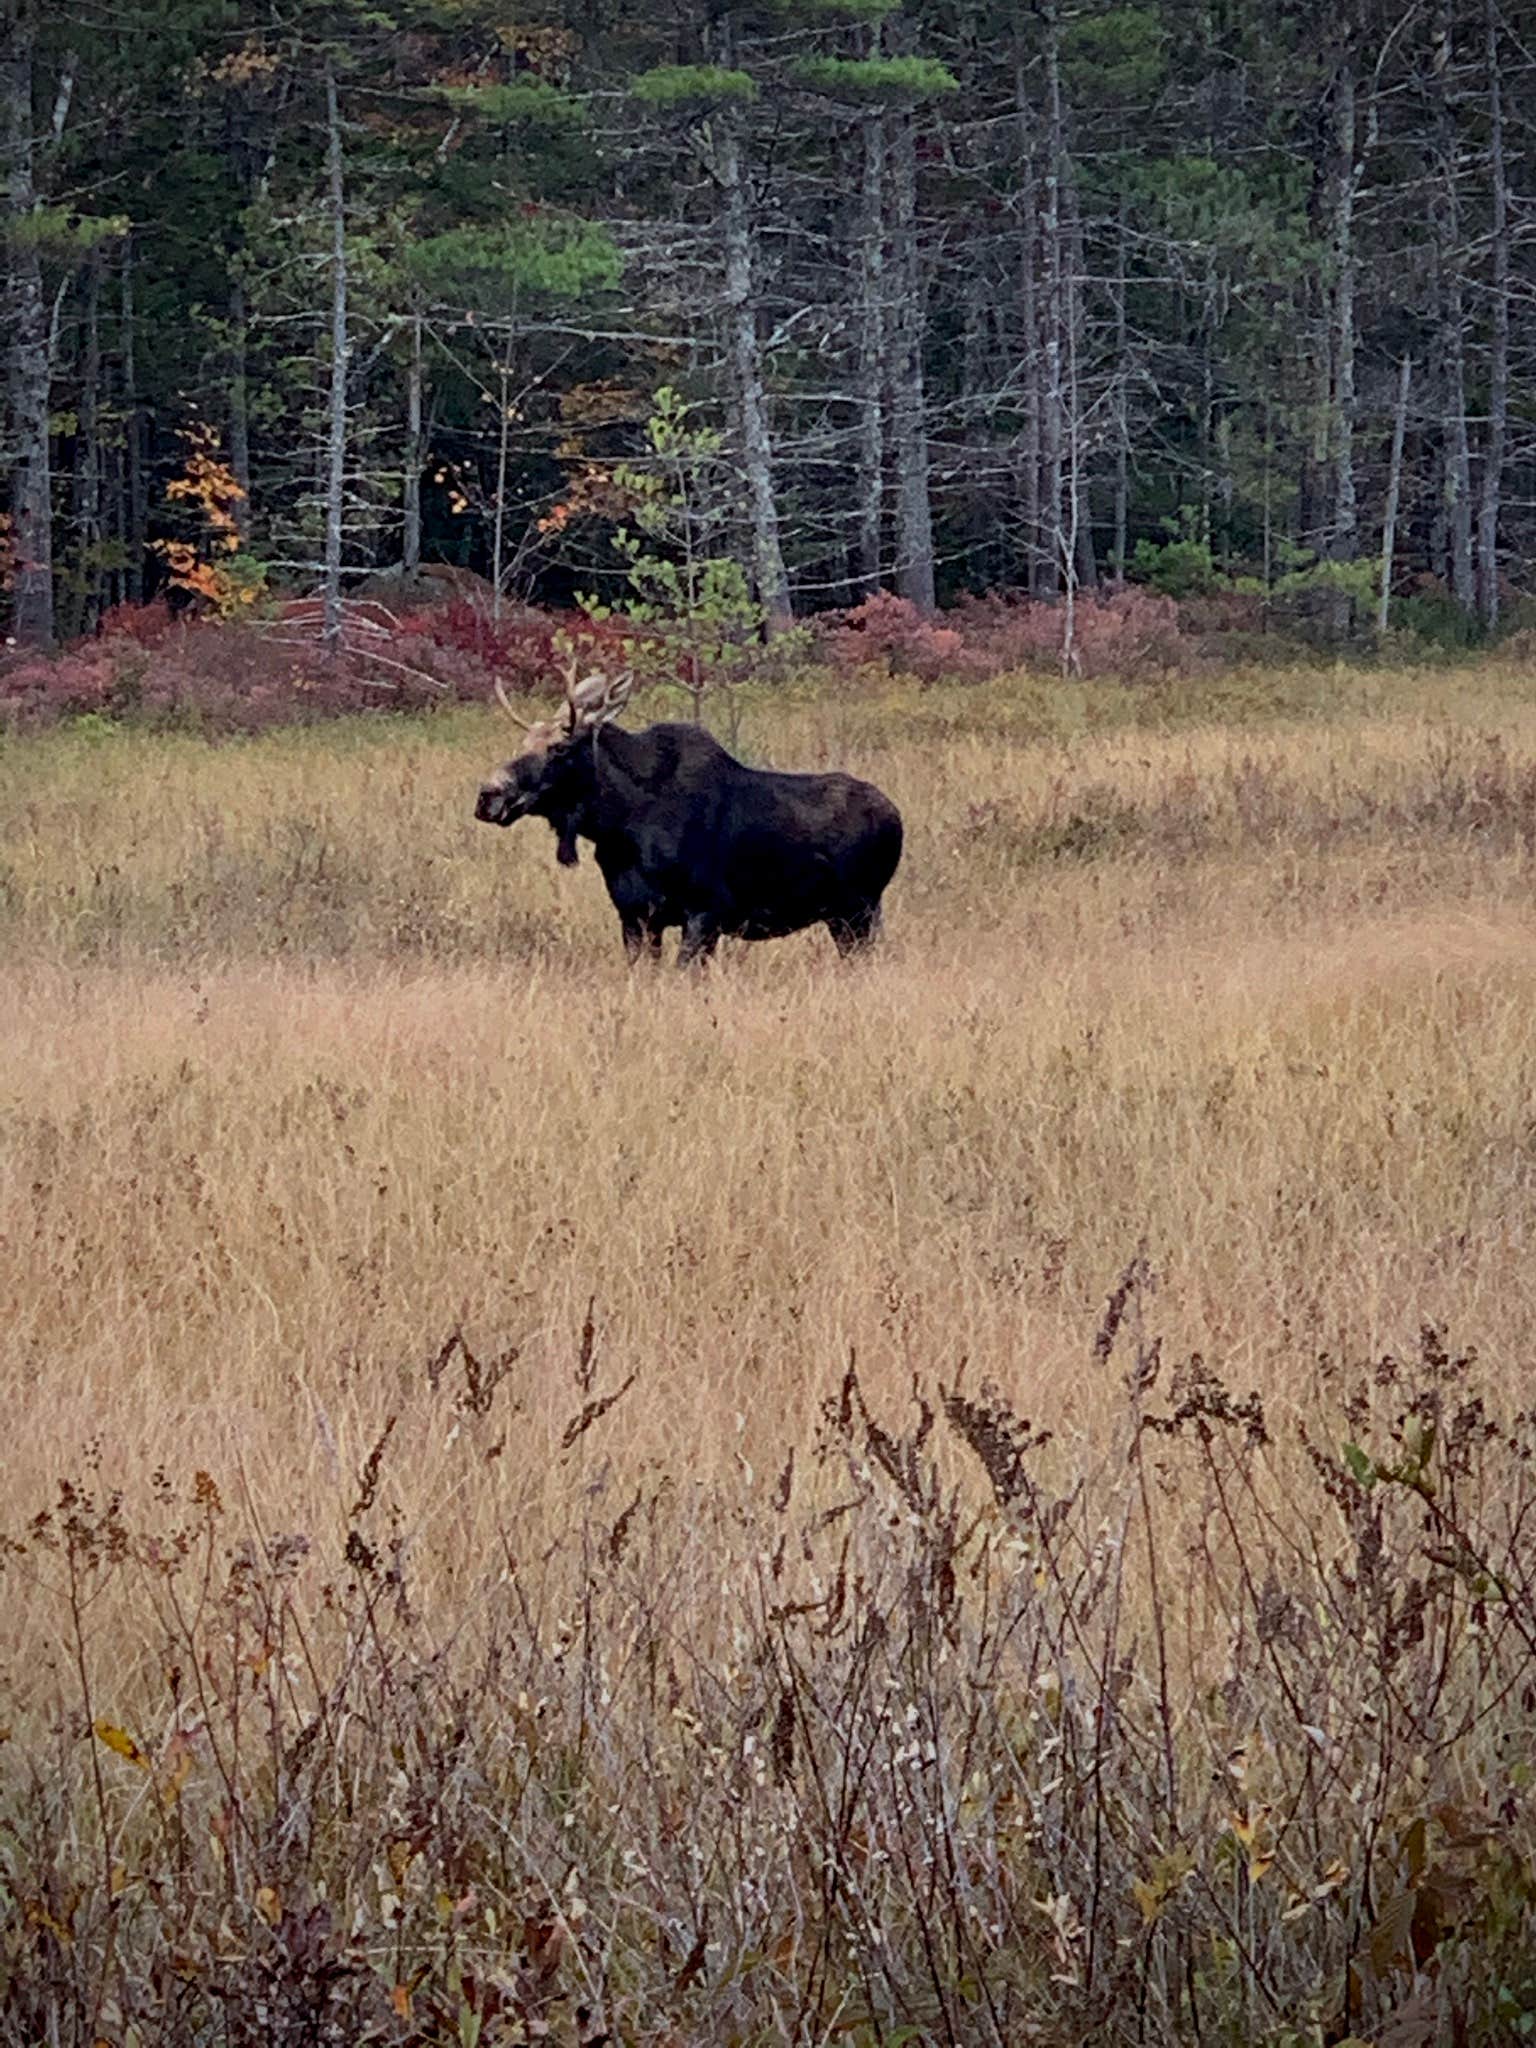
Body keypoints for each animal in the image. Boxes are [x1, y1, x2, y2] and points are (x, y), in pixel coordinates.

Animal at [473, 667, 901, 962]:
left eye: (560, 747)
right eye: (523, 741)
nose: (488, 796)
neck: (618, 826)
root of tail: (896, 818)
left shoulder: (705, 912)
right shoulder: (635, 917)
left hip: (858, 909)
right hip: (847, 915)